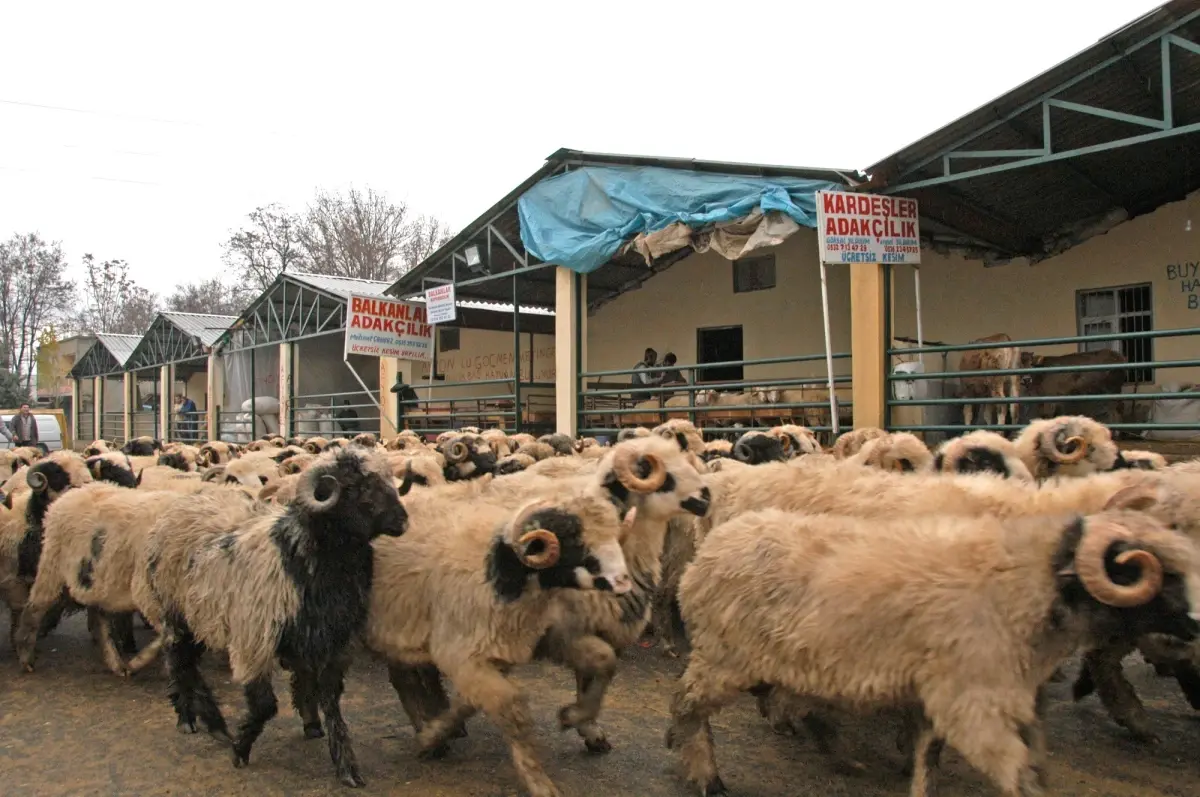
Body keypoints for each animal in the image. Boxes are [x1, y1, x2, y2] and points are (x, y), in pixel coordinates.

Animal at [138, 448, 405, 792]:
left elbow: (330, 701)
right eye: (357, 487)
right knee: (177, 661)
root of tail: (174, 513)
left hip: (199, 618)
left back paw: (214, 723)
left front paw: (346, 765)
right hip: (175, 613)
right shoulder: (254, 637)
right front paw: (240, 749)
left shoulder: (333, 642)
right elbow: (265, 704)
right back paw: (188, 718)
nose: (403, 520)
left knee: (191, 664)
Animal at [667, 504, 1200, 797]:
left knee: (796, 706)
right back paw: (702, 770)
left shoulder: (949, 693)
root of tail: (713, 545)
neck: (1031, 581)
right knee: (688, 704)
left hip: (794, 662)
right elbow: (1016, 773)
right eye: (1157, 574)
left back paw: (837, 754)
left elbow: (930, 758)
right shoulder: (971, 701)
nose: (1196, 626)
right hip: (724, 655)